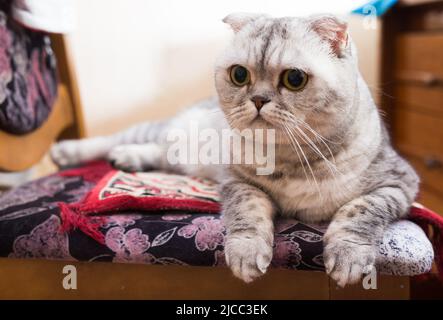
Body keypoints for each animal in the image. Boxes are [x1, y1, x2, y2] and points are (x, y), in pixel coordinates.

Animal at [52, 13, 420, 286]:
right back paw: (68, 152)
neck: (291, 159)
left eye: (295, 79)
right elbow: (248, 210)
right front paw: (246, 253)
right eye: (239, 75)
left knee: (153, 152)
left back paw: (127, 159)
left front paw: (348, 255)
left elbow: (360, 210)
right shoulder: (237, 180)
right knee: (114, 139)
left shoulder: (399, 182)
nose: (257, 99)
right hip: (166, 133)